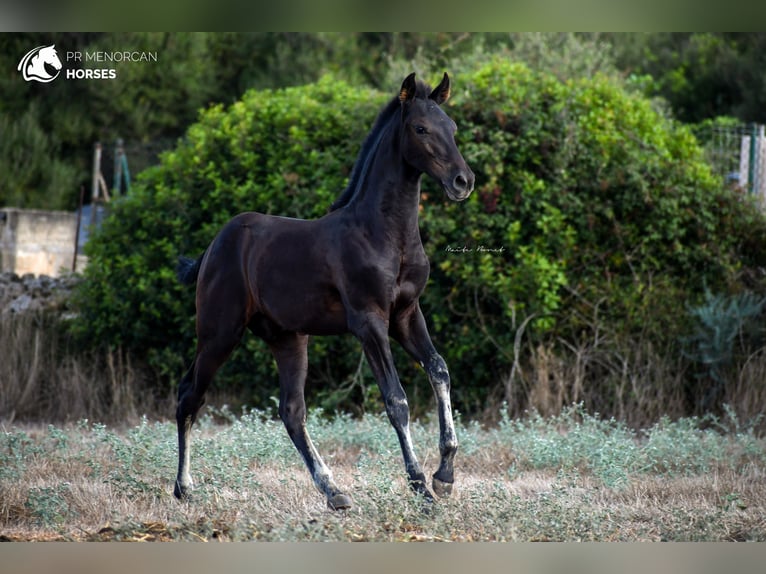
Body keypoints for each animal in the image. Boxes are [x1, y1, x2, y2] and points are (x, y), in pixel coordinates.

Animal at [176, 73, 474, 512]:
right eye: (421, 129)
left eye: (452, 127)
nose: (462, 181)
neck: (383, 233)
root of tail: (213, 247)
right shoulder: (369, 322)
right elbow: (396, 399)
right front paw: (421, 485)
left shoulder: (406, 314)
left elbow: (439, 370)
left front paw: (446, 475)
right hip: (219, 333)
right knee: (189, 396)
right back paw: (184, 488)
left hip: (288, 338)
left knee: (292, 412)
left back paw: (334, 492)